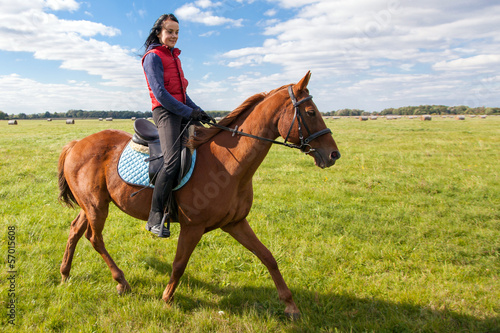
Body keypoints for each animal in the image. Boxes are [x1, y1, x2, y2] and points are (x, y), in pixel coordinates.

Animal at [57, 72, 340, 316]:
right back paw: (121, 281)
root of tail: (76, 143)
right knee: (94, 238)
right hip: (96, 207)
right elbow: (179, 263)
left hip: (91, 205)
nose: (334, 154)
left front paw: (290, 305)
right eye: (311, 112)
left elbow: (268, 257)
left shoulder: (236, 223)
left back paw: (65, 274)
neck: (228, 163)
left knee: (75, 230)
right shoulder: (192, 227)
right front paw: (167, 298)